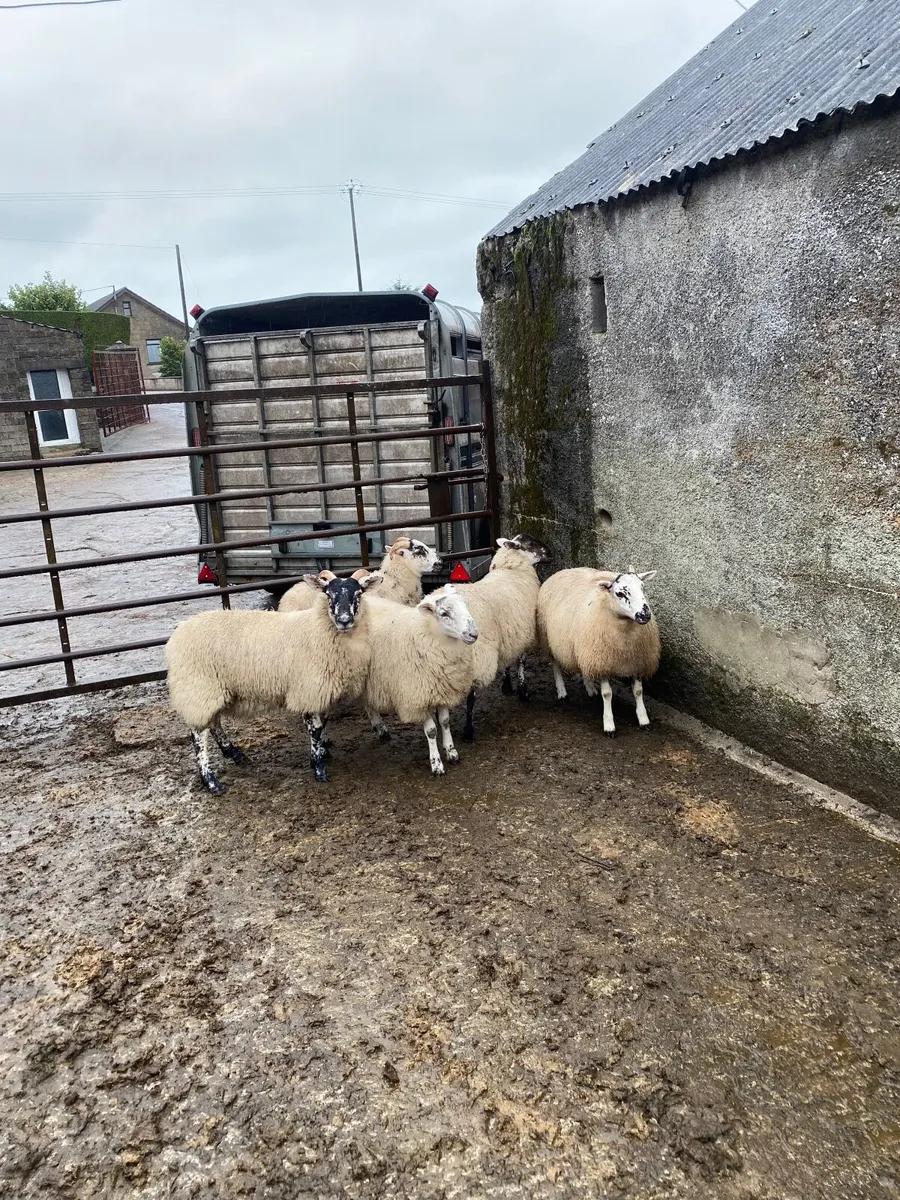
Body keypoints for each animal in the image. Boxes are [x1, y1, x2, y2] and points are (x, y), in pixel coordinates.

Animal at [165, 571, 382, 793]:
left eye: (358, 594)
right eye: (328, 594)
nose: (344, 620)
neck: (318, 629)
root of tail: (177, 635)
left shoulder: (323, 692)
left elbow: (323, 725)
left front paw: (322, 754)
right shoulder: (308, 690)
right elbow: (315, 730)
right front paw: (319, 768)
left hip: (213, 689)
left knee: (214, 722)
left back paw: (234, 754)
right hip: (198, 686)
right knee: (198, 735)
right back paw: (211, 781)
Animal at [361, 585, 478, 775]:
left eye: (465, 604)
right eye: (444, 613)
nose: (473, 634)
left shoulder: (442, 687)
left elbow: (445, 722)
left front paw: (451, 751)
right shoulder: (418, 695)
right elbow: (431, 731)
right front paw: (436, 763)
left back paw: (380, 730)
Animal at [431, 532, 550, 742]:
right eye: (531, 544)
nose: (550, 552)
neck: (511, 570)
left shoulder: (509, 632)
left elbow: (507, 661)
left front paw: (507, 685)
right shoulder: (524, 632)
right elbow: (521, 661)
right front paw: (523, 692)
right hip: (477, 655)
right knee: (471, 696)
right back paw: (468, 731)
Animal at [537, 567, 660, 736]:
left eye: (642, 587)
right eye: (620, 593)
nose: (645, 615)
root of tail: (564, 570)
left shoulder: (637, 661)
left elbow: (638, 691)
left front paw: (643, 719)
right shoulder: (602, 661)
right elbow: (607, 694)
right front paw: (609, 725)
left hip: (584, 648)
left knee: (583, 667)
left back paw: (590, 688)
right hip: (548, 638)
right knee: (555, 664)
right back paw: (561, 691)